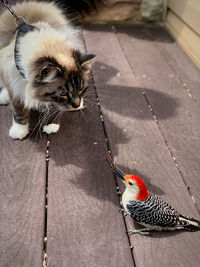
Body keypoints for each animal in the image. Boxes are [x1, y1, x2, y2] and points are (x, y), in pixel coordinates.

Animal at [0, 1, 96, 140]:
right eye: (63, 94)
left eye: (81, 89)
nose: (76, 104)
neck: (47, 46)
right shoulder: (16, 86)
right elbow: (19, 112)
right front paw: (19, 131)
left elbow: (53, 107)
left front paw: (51, 125)